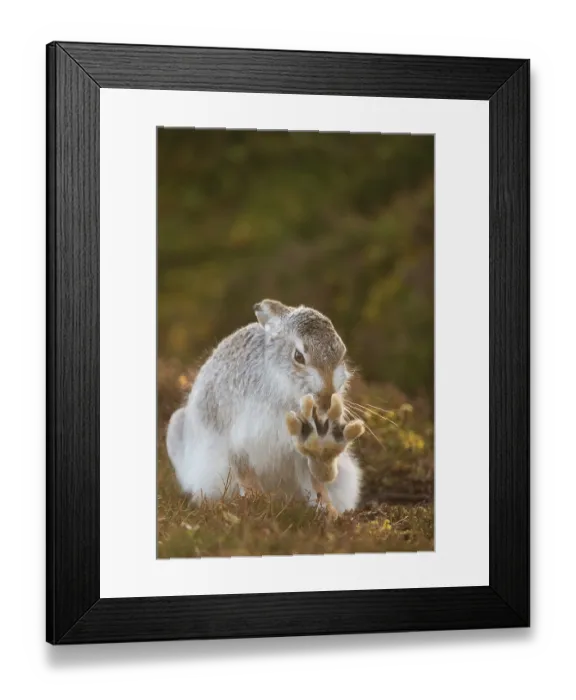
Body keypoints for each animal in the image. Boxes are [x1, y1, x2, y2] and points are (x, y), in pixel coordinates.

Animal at [166, 299, 365, 516]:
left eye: (342, 356)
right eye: (298, 356)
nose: (327, 399)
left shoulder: (299, 455)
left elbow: (316, 481)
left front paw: (328, 511)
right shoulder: (234, 437)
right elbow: (243, 471)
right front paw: (256, 500)